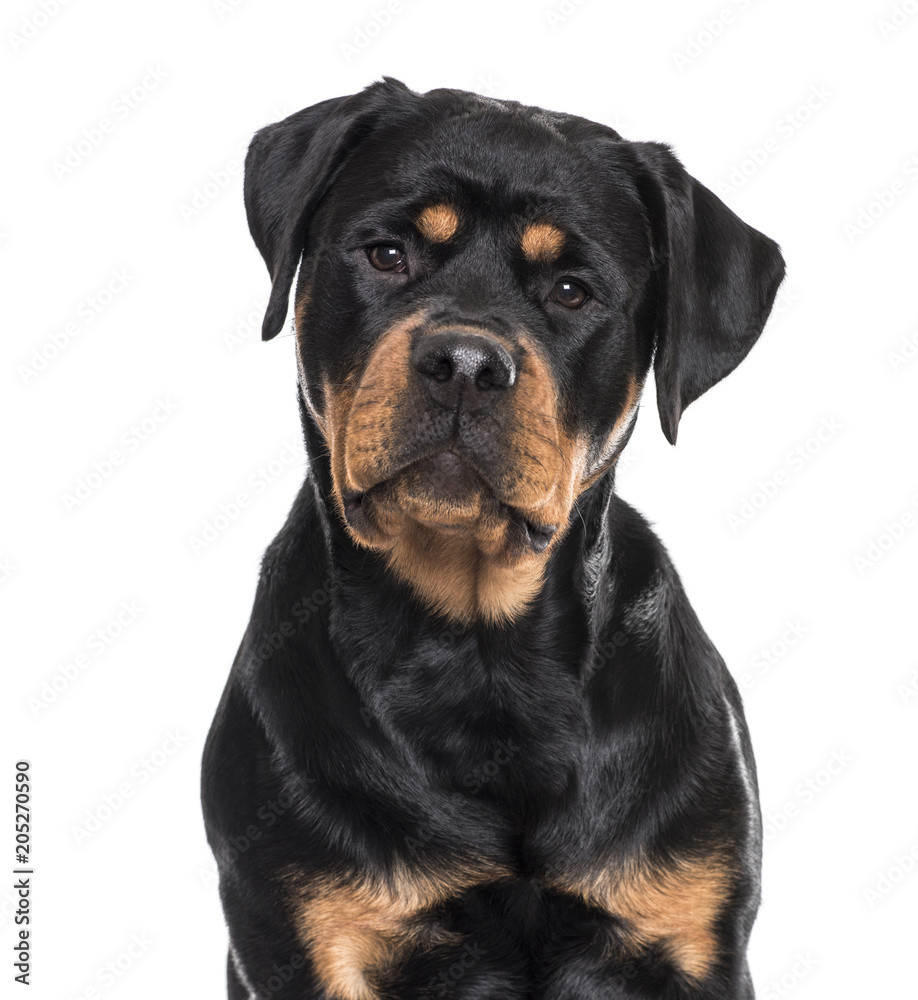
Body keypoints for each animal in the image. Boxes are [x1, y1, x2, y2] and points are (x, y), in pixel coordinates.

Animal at [205, 78, 788, 1000]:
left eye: (574, 291)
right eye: (386, 253)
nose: (467, 362)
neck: (479, 655)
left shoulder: (692, 935)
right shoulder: (304, 936)